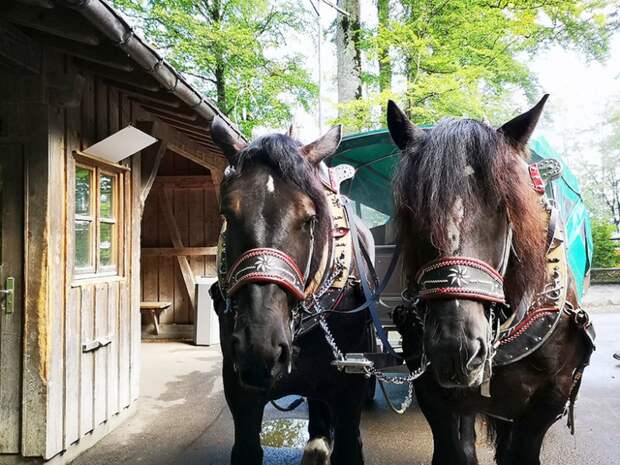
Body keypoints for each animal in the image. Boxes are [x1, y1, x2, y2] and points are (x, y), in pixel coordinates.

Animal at [209, 119, 372, 464]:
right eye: (227, 214)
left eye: (310, 219)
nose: (260, 347)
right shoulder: (239, 389)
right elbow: (246, 448)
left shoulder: (350, 387)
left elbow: (349, 447)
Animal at [388, 98, 596, 464]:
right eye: (413, 211)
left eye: (505, 204)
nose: (455, 349)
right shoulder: (433, 393)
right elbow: (456, 451)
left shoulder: (551, 398)